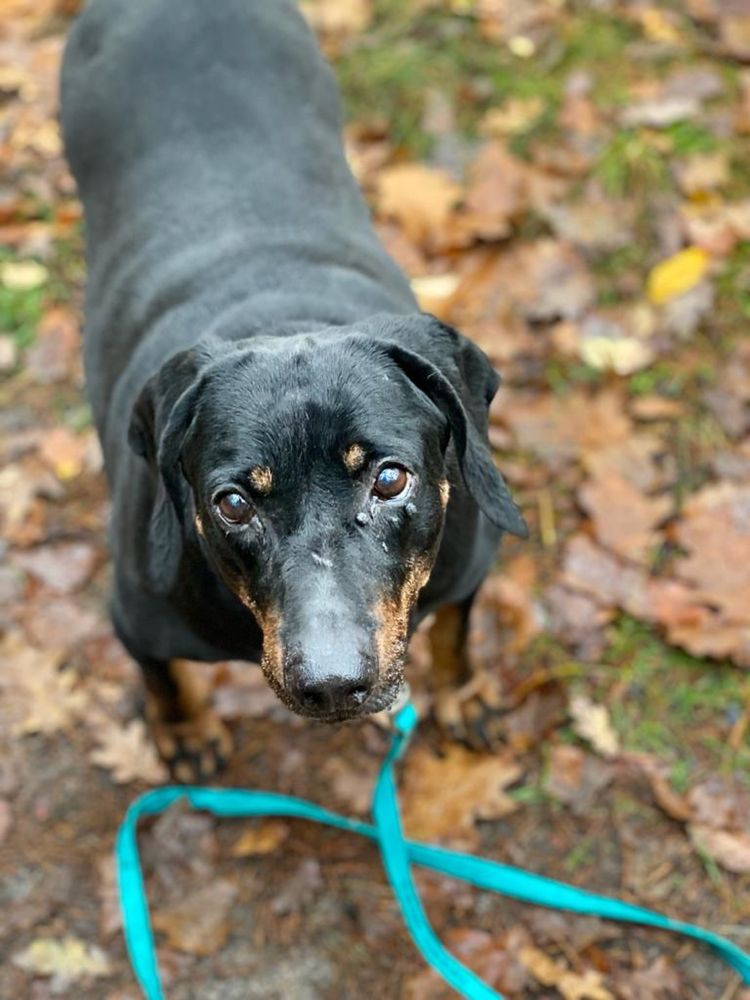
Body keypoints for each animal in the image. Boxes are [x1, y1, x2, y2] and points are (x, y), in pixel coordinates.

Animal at [61, 0, 524, 776]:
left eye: (390, 479)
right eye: (233, 503)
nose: (332, 684)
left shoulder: (464, 567)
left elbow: (456, 631)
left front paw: (462, 692)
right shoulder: (135, 614)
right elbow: (164, 679)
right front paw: (185, 733)